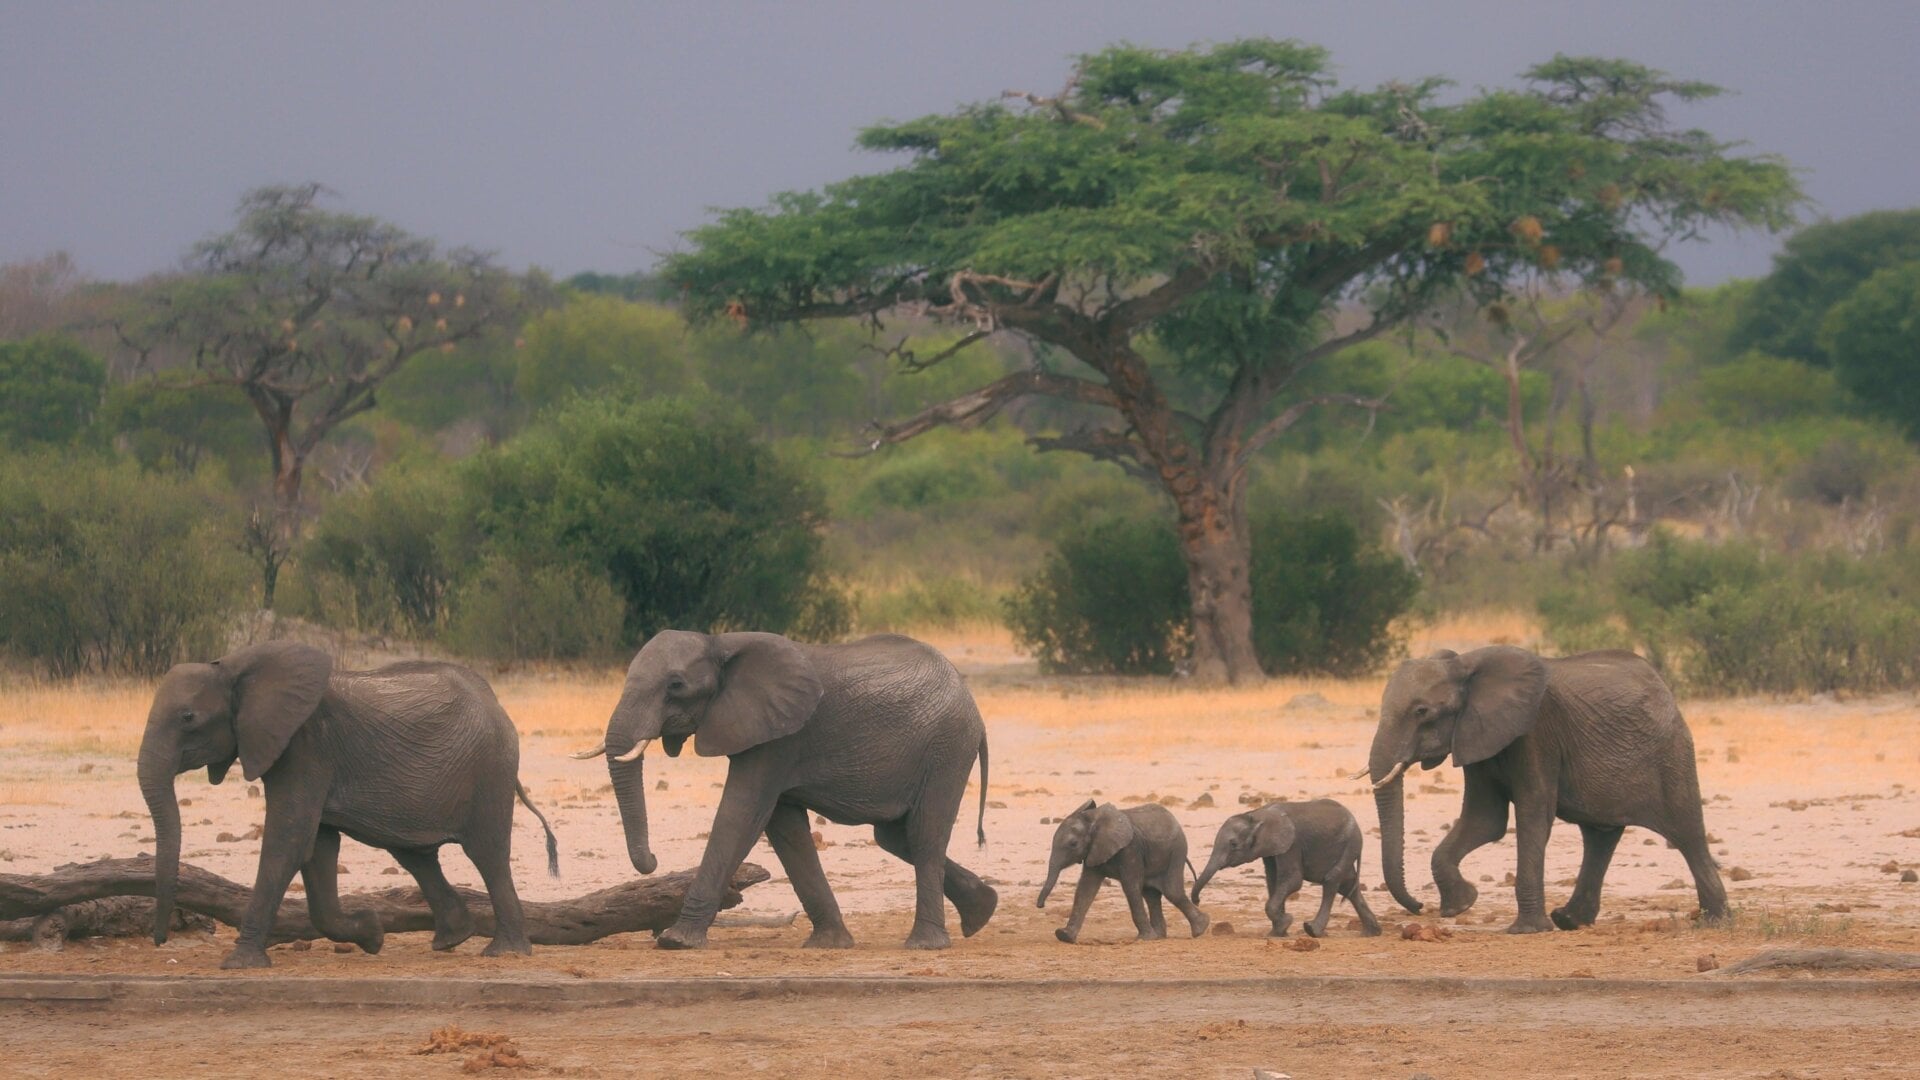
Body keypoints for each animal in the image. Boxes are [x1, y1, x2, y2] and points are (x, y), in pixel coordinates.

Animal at [137, 642, 558, 968]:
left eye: (188, 718)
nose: (160, 940)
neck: (234, 667)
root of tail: (496, 702)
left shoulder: (305, 747)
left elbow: (288, 843)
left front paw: (239, 963)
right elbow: (316, 849)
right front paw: (372, 934)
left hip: (490, 770)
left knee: (487, 854)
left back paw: (505, 952)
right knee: (415, 854)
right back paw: (451, 939)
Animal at [576, 630, 996, 950]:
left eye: (676, 686)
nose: (652, 860)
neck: (720, 643)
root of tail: (970, 702)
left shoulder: (778, 739)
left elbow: (741, 815)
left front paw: (677, 941)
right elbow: (785, 829)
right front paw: (829, 944)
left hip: (946, 748)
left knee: (924, 836)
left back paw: (925, 944)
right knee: (895, 836)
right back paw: (982, 911)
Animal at [1037, 800, 1209, 944]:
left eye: (1073, 844)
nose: (1041, 905)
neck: (1093, 819)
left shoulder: (1130, 849)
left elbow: (1130, 886)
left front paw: (1144, 939)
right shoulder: (1094, 851)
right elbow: (1086, 889)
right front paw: (1064, 936)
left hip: (1177, 851)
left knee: (1172, 891)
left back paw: (1200, 929)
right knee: (1151, 894)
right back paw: (1161, 936)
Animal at [1190, 799, 1382, 938]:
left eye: (1233, 844)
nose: (1198, 901)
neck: (1256, 814)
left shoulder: (1291, 844)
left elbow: (1292, 880)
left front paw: (1286, 922)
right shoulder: (1271, 849)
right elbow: (1273, 881)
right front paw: (1277, 933)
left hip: (1350, 843)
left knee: (1332, 880)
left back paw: (1313, 930)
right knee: (1348, 885)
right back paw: (1371, 933)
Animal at [1365, 645, 1727, 934]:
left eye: (1421, 712)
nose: (1418, 907)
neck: (1467, 664)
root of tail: (1664, 686)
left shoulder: (1536, 733)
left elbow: (1532, 813)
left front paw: (1526, 930)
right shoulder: (1476, 736)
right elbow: (1485, 820)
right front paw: (1462, 904)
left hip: (1671, 752)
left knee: (1687, 832)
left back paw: (1715, 920)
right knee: (1600, 837)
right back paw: (1569, 920)